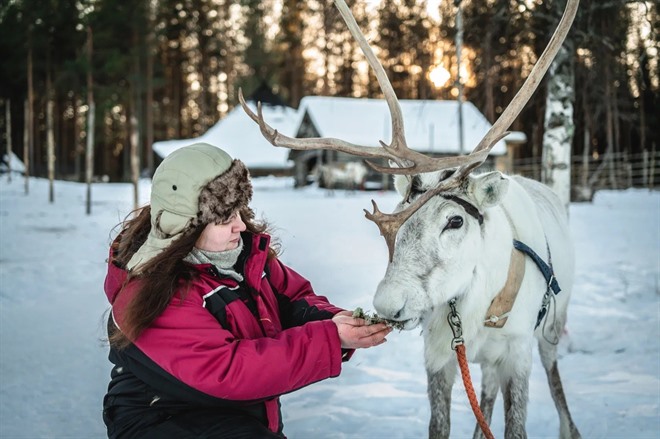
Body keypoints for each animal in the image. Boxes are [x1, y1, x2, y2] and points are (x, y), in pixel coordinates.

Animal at [238, 1, 582, 438]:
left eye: (455, 221)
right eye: (397, 224)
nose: (387, 303)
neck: (475, 305)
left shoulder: (517, 352)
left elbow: (516, 426)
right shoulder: (439, 355)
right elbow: (440, 424)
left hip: (552, 327)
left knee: (552, 376)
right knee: (485, 391)